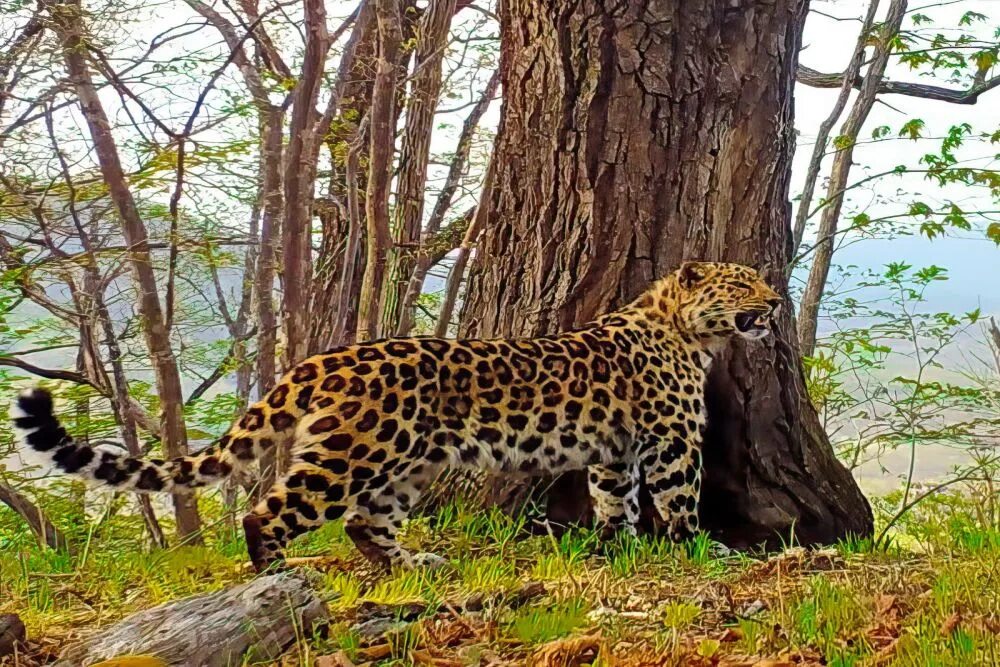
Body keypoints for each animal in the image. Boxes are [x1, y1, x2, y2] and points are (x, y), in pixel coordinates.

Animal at [13, 260, 780, 576]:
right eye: (743, 283)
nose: (774, 303)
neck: (691, 332)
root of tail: (319, 360)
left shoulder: (616, 449)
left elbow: (615, 501)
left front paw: (617, 548)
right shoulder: (673, 440)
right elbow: (678, 499)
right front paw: (699, 548)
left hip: (409, 463)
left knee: (364, 522)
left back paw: (414, 561)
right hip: (352, 455)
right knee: (271, 510)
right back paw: (279, 572)